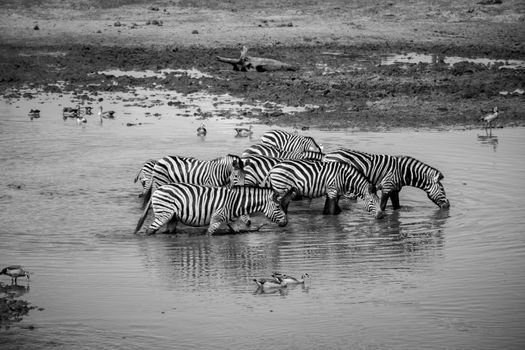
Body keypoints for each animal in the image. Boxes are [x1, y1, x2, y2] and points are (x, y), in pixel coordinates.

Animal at [133, 183, 292, 235]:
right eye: (277, 206)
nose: (286, 223)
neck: (237, 203)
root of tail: (157, 189)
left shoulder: (232, 222)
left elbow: (239, 233)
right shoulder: (216, 219)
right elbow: (208, 236)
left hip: (172, 217)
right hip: (164, 214)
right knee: (149, 231)